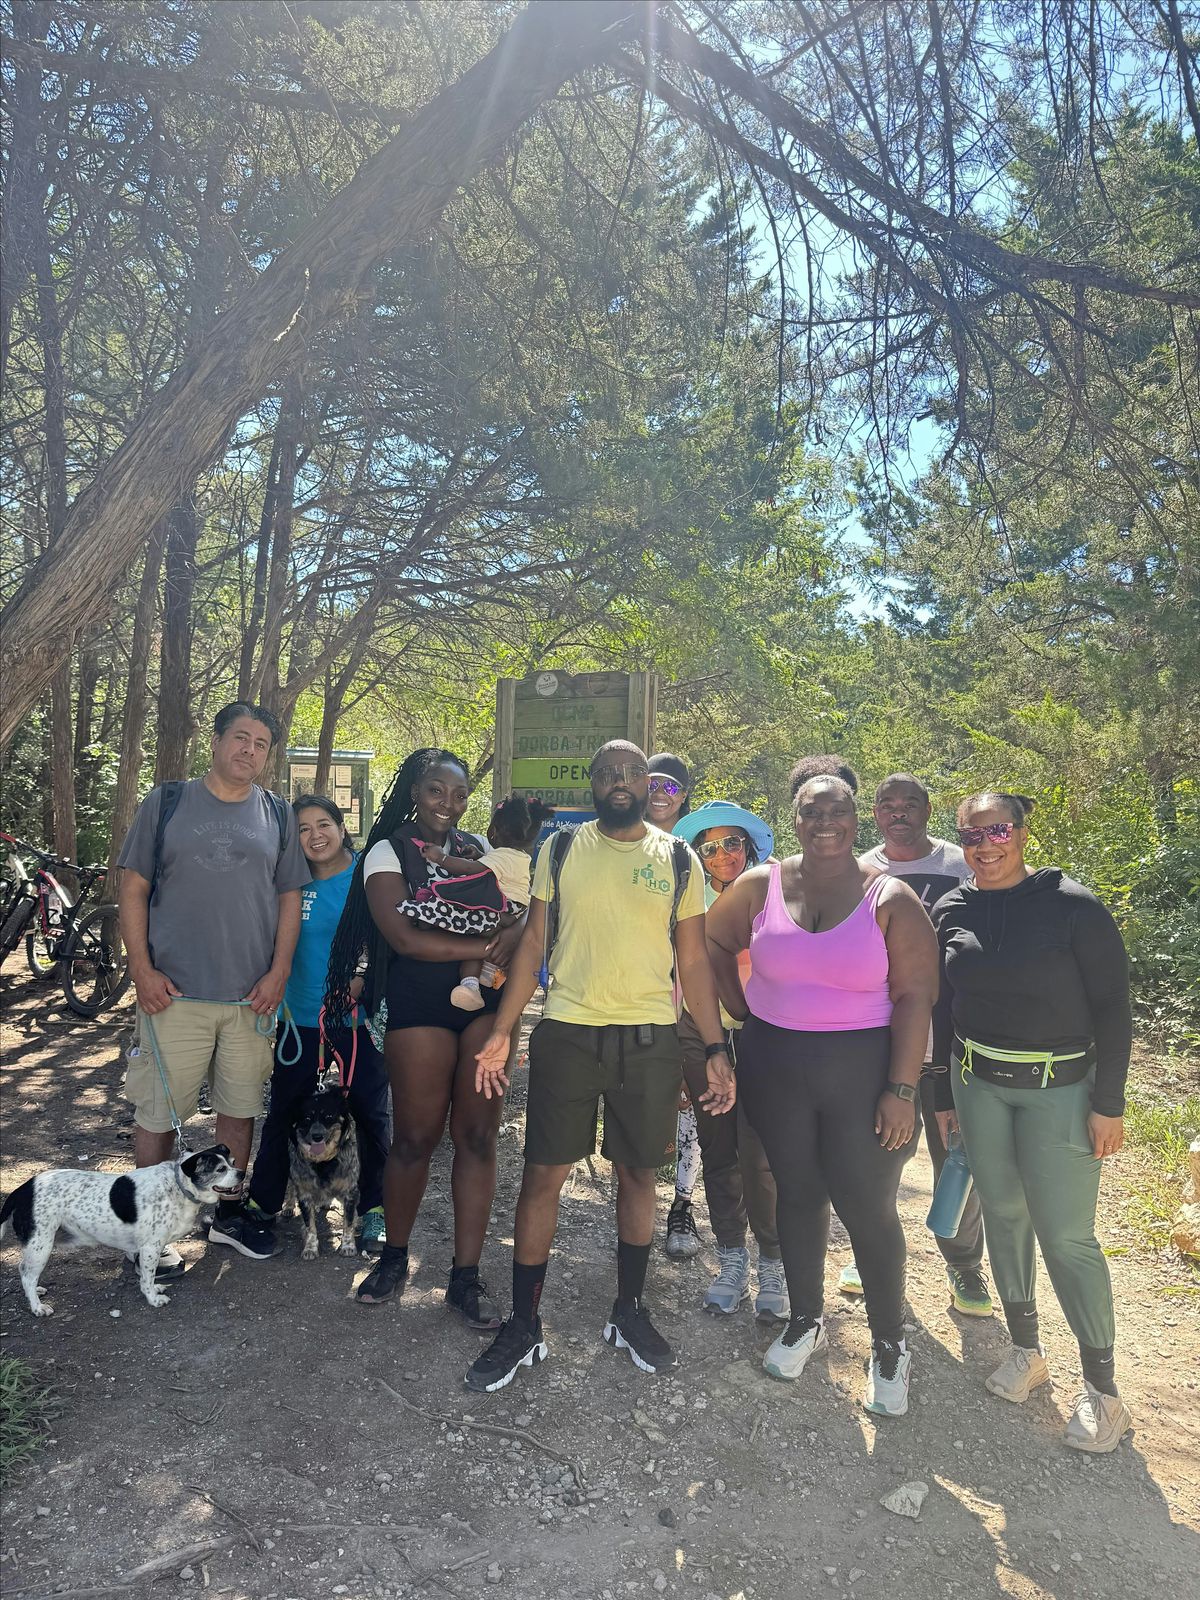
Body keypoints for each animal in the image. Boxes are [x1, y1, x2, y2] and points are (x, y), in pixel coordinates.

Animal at [0, 1145, 244, 1318]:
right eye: (220, 1169)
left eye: (232, 1162)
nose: (242, 1173)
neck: (178, 1186)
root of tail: (22, 1190)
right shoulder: (150, 1248)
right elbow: (146, 1277)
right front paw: (152, 1298)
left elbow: (149, 1275)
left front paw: (155, 1289)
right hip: (40, 1245)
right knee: (27, 1275)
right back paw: (37, 1307)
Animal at [288, 1088, 360, 1260]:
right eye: (307, 1118)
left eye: (328, 1116)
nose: (317, 1136)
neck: (323, 1161)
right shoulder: (304, 1193)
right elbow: (310, 1226)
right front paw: (310, 1248)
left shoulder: (350, 1191)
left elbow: (348, 1222)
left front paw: (348, 1245)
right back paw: (288, 1206)